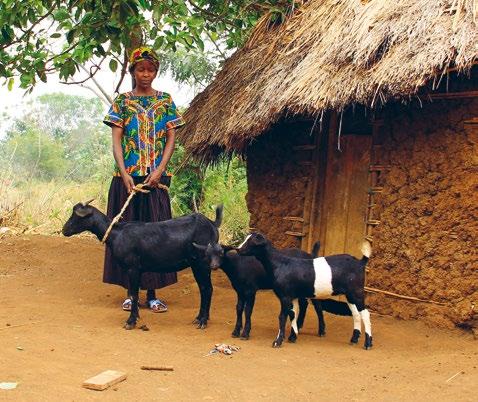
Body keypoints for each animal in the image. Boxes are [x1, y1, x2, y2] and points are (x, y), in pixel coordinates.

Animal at [61, 201, 222, 330]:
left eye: (76, 216)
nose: (64, 230)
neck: (116, 234)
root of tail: (212, 224)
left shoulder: (133, 268)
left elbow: (134, 294)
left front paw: (131, 322)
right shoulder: (135, 270)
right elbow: (134, 295)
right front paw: (135, 317)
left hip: (203, 263)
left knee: (208, 289)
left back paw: (203, 321)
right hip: (196, 265)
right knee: (203, 289)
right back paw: (199, 318)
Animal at [239, 232, 374, 348]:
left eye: (252, 241)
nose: (238, 249)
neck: (280, 264)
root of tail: (360, 262)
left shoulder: (285, 296)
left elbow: (282, 317)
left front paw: (277, 341)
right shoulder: (292, 296)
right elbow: (293, 314)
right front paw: (292, 337)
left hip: (357, 291)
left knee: (365, 313)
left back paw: (367, 343)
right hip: (349, 294)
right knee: (356, 313)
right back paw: (354, 339)